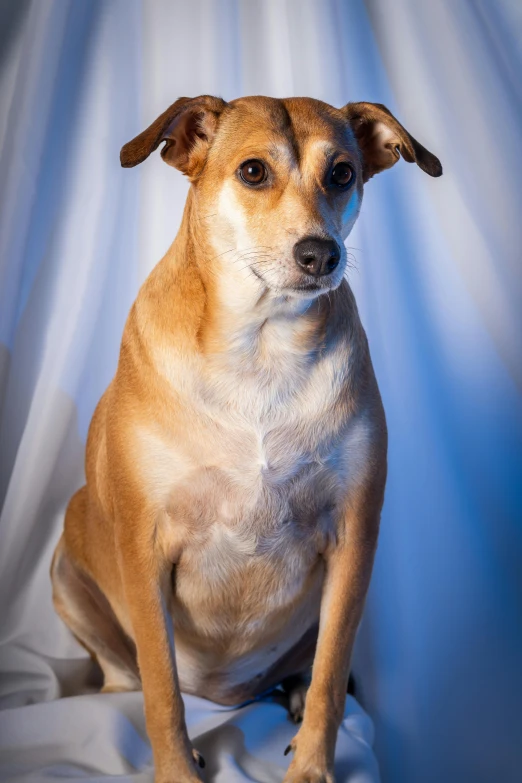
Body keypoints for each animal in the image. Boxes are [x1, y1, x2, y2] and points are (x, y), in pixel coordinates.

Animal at [50, 95, 438, 780]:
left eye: (342, 173)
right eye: (253, 171)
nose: (320, 254)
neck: (260, 349)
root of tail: (225, 696)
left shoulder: (354, 538)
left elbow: (331, 676)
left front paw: (311, 767)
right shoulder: (144, 548)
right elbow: (161, 689)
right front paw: (178, 771)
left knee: (309, 671)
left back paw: (289, 695)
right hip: (66, 562)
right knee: (125, 675)